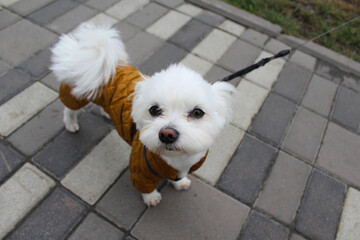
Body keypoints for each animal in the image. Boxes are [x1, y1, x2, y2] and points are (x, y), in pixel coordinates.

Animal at [51, 23, 236, 206]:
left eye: (197, 112)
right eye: (154, 110)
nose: (167, 134)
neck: (177, 160)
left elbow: (176, 178)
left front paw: (179, 183)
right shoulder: (141, 168)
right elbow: (145, 187)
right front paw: (151, 198)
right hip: (77, 95)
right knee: (69, 109)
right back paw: (71, 124)